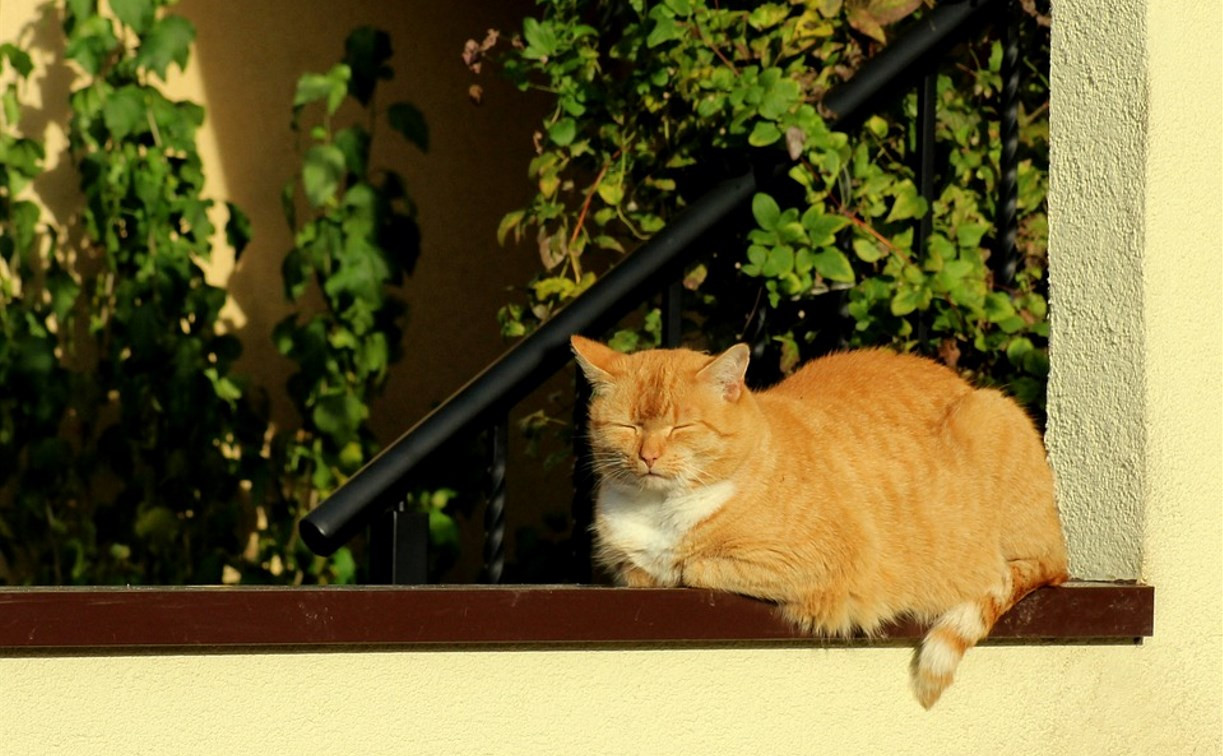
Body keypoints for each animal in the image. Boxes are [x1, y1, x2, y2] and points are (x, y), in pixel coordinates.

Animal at [567, 332, 1066, 704]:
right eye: (628, 427)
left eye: (681, 427)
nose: (648, 456)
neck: (660, 509)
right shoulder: (622, 562)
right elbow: (638, 570)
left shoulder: (825, 562)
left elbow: (693, 566)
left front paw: (675, 567)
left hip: (991, 419)